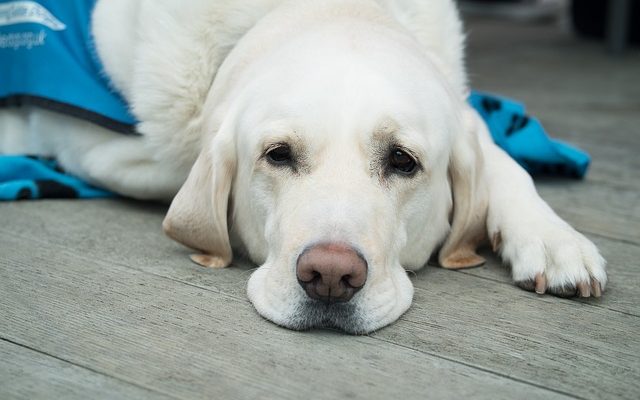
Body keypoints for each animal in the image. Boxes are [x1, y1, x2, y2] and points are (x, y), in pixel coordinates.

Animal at [0, 0, 604, 332]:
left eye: (402, 160)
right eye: (278, 155)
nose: (331, 276)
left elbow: (502, 162)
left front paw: (554, 239)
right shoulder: (102, 146)